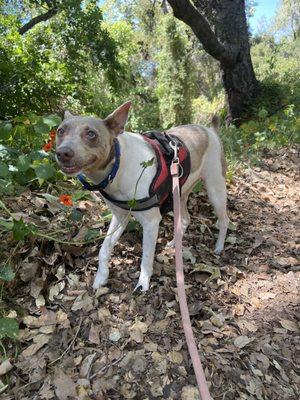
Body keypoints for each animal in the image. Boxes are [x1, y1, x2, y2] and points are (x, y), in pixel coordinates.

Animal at [55, 101, 229, 292]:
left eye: (91, 134)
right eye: (60, 131)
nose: (63, 153)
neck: (118, 166)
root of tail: (210, 131)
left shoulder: (151, 223)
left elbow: (146, 257)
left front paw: (143, 282)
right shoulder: (119, 217)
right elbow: (104, 248)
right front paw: (101, 277)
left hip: (215, 189)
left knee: (224, 220)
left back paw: (219, 247)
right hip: (180, 193)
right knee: (185, 219)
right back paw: (174, 243)